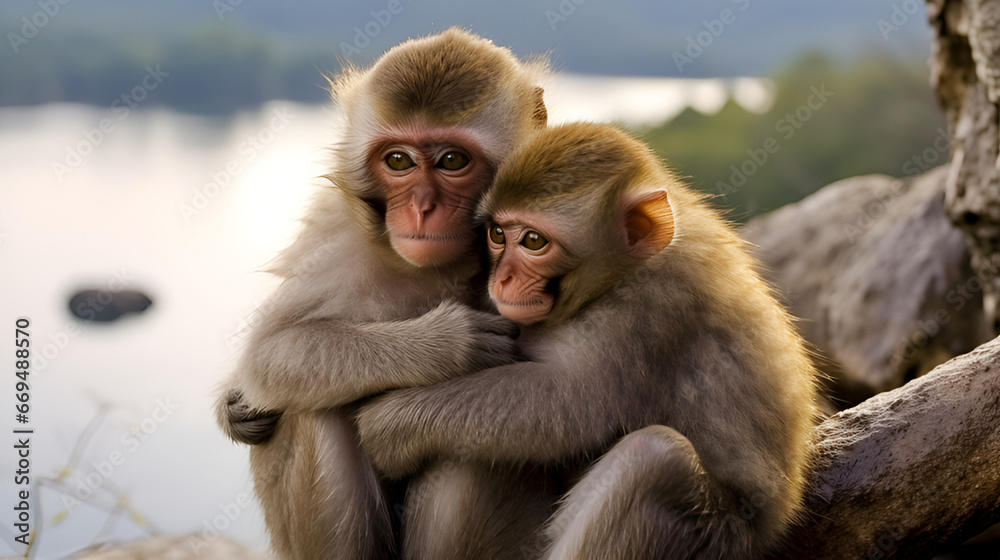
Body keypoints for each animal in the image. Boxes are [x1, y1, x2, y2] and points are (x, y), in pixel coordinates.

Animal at [214, 28, 548, 560]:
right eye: (398, 160)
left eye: (453, 160)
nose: (422, 208)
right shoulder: (334, 225)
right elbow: (269, 354)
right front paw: (445, 345)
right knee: (313, 406)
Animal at [355, 122, 819, 559]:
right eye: (498, 234)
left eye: (534, 241)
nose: (501, 279)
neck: (623, 272)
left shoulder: (652, 305)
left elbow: (576, 400)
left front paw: (388, 425)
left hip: (720, 536)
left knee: (656, 460)